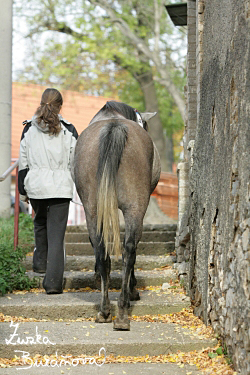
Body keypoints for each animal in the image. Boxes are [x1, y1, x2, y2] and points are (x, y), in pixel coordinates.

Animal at [73, 100, 161, 332]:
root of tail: (114, 127)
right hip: (135, 208)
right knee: (129, 249)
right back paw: (123, 310)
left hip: (93, 209)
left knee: (102, 249)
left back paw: (105, 311)